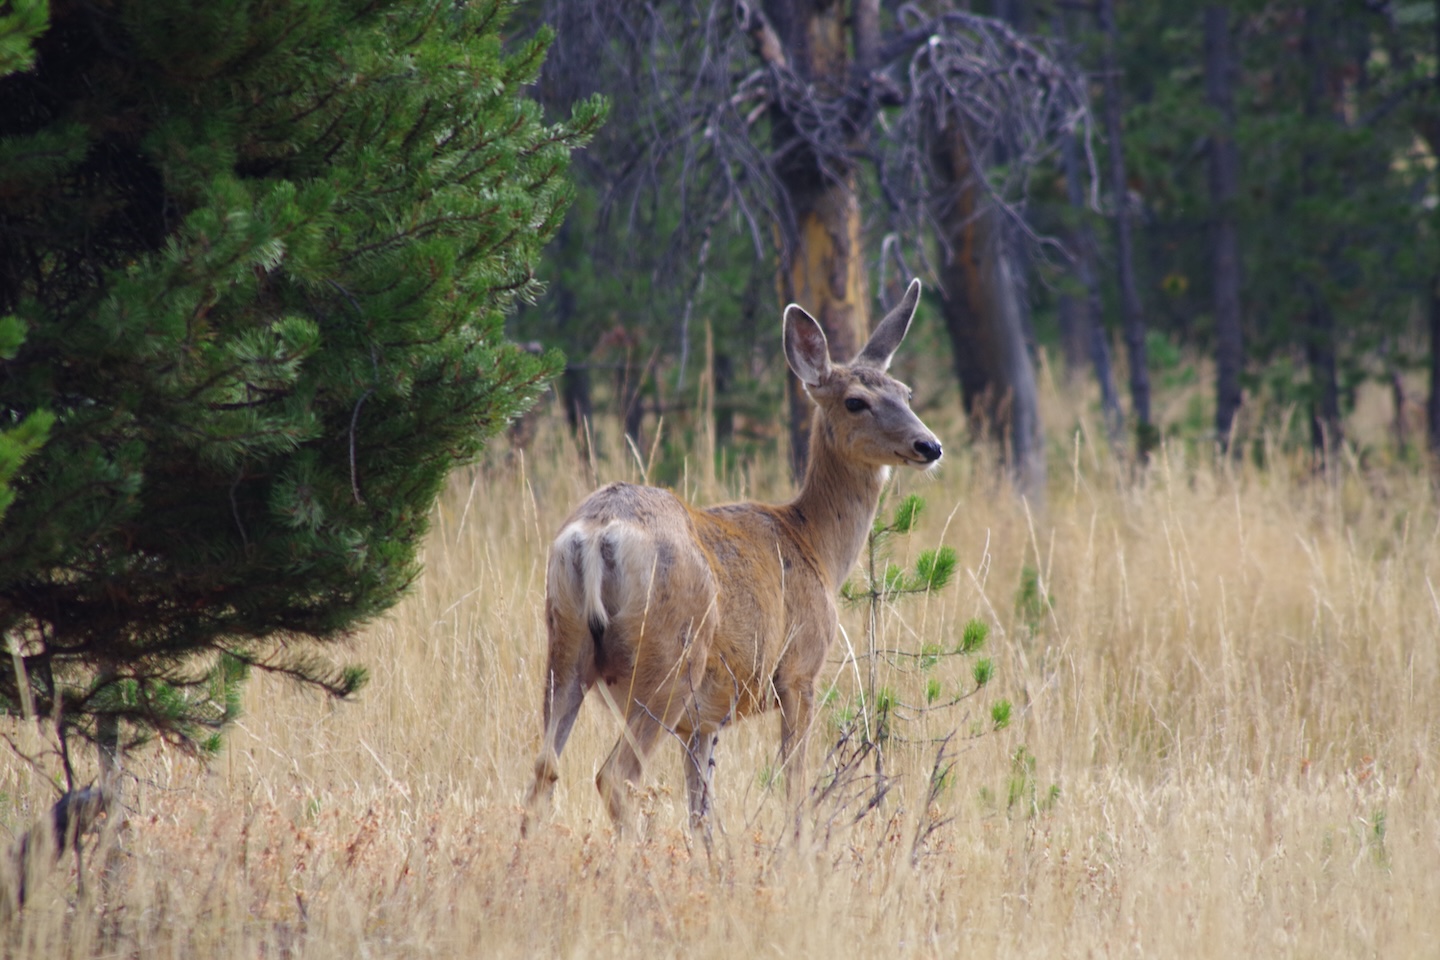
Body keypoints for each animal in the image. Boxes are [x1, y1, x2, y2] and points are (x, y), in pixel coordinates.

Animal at [522, 279, 942, 835]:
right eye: (856, 401)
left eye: (906, 393)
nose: (929, 445)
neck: (815, 547)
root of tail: (596, 534)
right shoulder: (800, 670)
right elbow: (793, 784)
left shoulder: (702, 721)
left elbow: (701, 810)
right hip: (670, 656)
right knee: (614, 776)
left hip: (565, 642)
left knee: (543, 769)